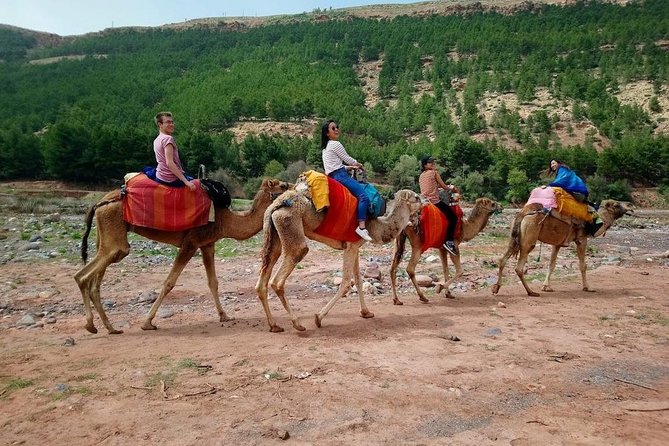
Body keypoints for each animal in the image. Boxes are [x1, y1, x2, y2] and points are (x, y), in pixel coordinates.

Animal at [74, 178, 291, 334]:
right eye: (282, 185)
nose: (292, 187)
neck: (225, 220)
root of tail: (100, 203)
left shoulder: (208, 244)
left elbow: (213, 282)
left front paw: (224, 316)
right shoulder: (191, 243)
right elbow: (169, 282)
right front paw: (147, 322)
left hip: (106, 237)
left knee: (95, 281)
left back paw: (109, 328)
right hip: (115, 239)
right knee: (83, 276)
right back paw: (91, 325)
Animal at [254, 186, 426, 332]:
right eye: (416, 197)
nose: (427, 200)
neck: (376, 227)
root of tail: (277, 204)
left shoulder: (354, 246)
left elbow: (358, 279)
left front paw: (366, 312)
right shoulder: (351, 246)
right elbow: (345, 283)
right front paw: (318, 318)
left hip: (273, 235)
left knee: (262, 281)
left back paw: (274, 325)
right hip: (290, 225)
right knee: (279, 278)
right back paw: (297, 324)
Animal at [491, 199, 632, 297]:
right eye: (616, 205)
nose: (630, 206)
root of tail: (523, 213)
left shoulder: (557, 243)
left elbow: (552, 264)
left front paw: (546, 287)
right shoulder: (581, 239)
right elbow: (583, 265)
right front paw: (588, 287)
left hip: (513, 237)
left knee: (502, 260)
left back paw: (496, 288)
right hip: (529, 237)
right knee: (519, 267)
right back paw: (531, 292)